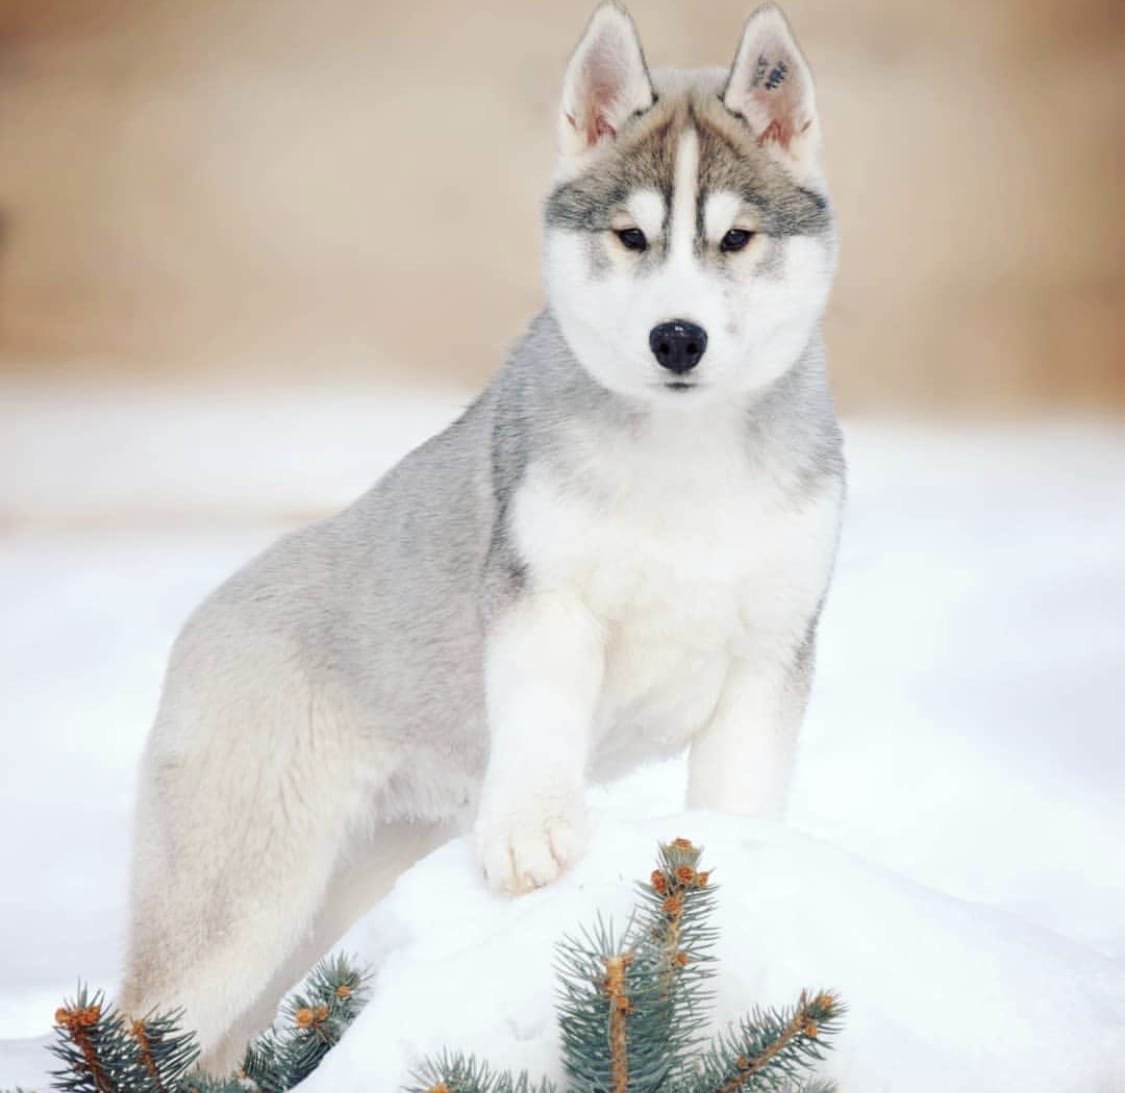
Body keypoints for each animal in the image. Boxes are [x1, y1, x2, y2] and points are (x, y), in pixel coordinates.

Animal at [123, 2, 846, 1066]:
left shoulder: (769, 652)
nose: (677, 338)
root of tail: (203, 616)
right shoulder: (543, 599)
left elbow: (735, 795)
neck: (684, 457)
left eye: (737, 237)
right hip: (236, 895)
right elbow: (542, 719)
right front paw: (532, 839)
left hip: (337, 885)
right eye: (631, 235)